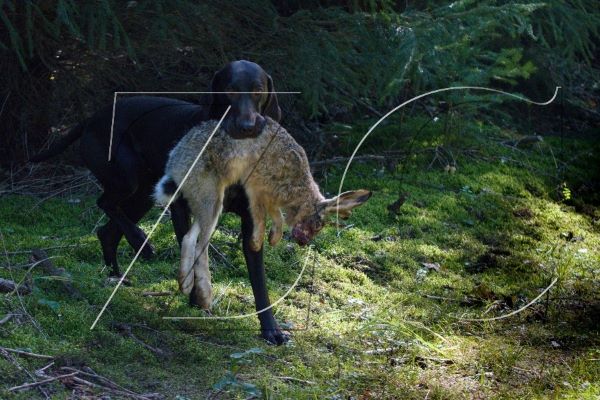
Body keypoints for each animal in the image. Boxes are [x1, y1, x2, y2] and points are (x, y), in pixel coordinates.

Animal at [154, 117, 371, 309]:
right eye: (316, 225)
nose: (304, 243)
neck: (301, 193)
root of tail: (175, 164)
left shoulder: (271, 197)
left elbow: (277, 215)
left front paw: (274, 238)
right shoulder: (257, 187)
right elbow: (260, 214)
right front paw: (257, 242)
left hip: (207, 201)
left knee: (189, 238)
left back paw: (185, 284)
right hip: (212, 197)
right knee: (201, 246)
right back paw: (206, 295)